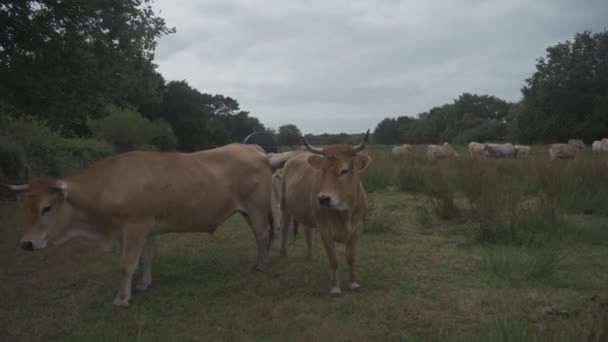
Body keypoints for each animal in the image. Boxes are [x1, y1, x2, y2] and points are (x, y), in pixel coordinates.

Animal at [280, 130, 370, 296]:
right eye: (323, 170)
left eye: (344, 170)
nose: (323, 199)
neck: (344, 213)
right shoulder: (324, 229)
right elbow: (333, 260)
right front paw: (334, 286)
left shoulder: (357, 228)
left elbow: (350, 257)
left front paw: (353, 282)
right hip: (284, 206)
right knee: (284, 227)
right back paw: (283, 252)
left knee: (307, 230)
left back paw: (311, 255)